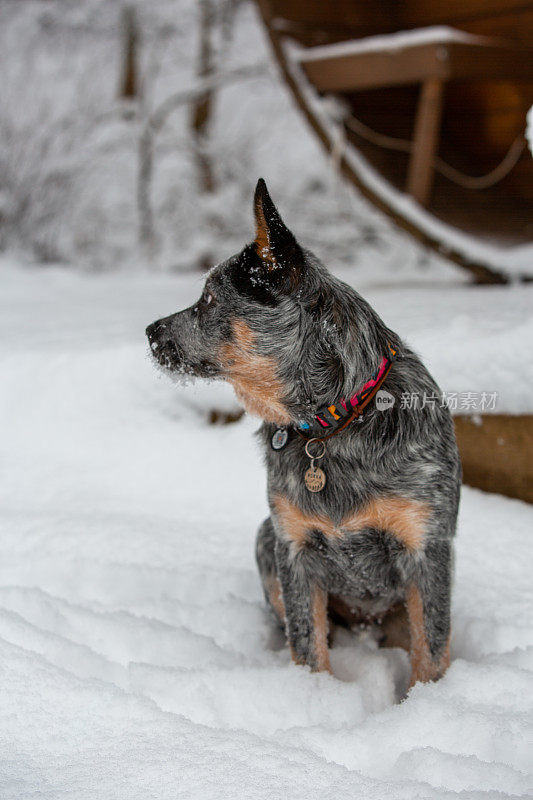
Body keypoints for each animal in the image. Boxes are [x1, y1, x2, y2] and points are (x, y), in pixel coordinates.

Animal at [147, 181, 462, 688]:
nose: (150, 331)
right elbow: (306, 644)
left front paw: (429, 700)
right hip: (264, 537)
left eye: (209, 299)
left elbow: (431, 652)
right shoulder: (293, 548)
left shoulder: (426, 546)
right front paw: (315, 696)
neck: (333, 425)